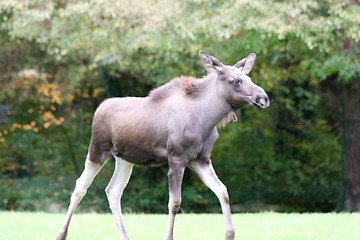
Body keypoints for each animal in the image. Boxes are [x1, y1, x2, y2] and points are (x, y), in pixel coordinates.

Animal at [56, 49, 268, 239]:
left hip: (125, 159)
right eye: (236, 81)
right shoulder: (176, 158)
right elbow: (174, 202)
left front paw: (230, 234)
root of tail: (98, 108)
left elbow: (222, 191)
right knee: (80, 187)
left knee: (113, 190)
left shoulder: (201, 159)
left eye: (248, 77)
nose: (263, 98)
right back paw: (61, 233)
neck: (207, 119)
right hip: (97, 150)